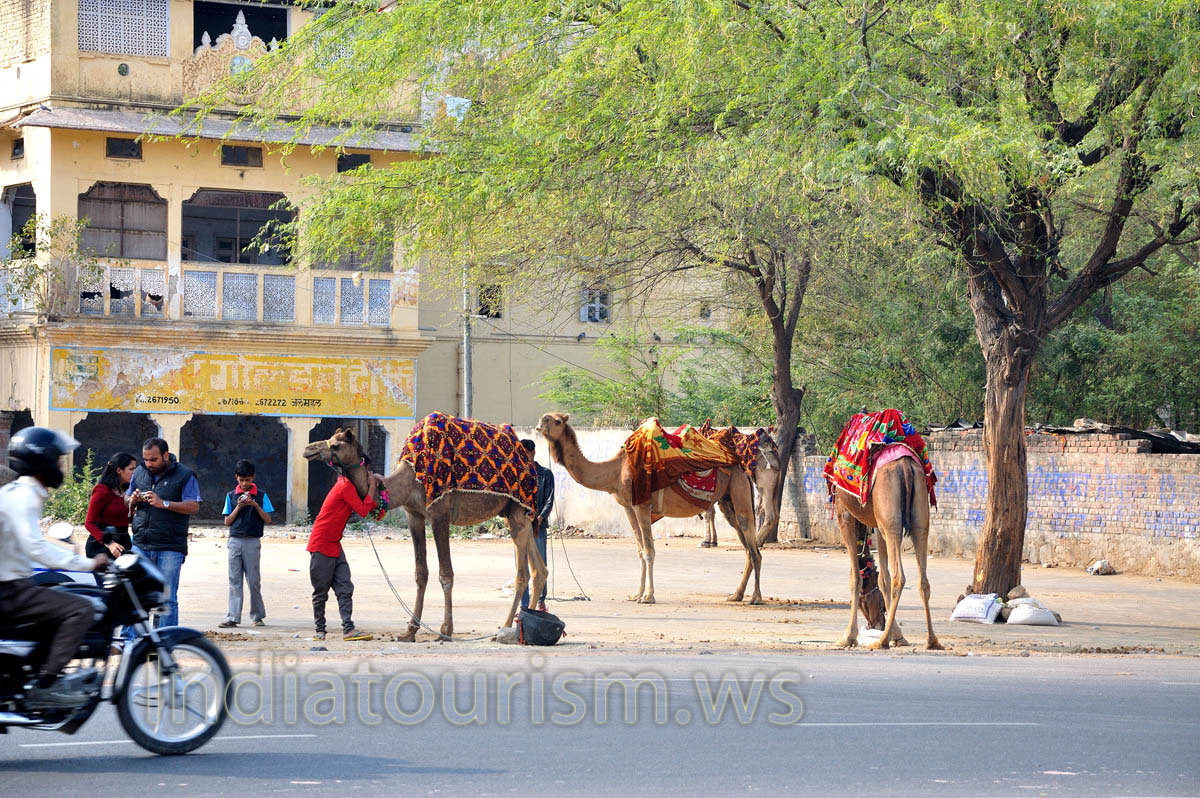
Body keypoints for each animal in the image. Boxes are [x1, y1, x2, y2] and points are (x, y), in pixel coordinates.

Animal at [302, 427, 545, 640]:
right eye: (329, 440)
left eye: (335, 445)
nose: (308, 449)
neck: (409, 481)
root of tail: (530, 465)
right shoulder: (414, 515)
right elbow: (421, 573)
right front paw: (409, 631)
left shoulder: (439, 514)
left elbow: (445, 574)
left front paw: (446, 631)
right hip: (513, 514)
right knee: (539, 570)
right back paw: (525, 623)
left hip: (517, 510)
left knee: (522, 573)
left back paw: (506, 628)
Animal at [536, 412, 762, 605]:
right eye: (547, 417)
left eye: (557, 421)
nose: (541, 422)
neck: (615, 471)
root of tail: (742, 465)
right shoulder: (629, 507)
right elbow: (640, 549)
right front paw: (636, 593)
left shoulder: (642, 505)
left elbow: (649, 551)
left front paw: (648, 596)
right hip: (727, 502)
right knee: (747, 548)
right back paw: (736, 595)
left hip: (739, 493)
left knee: (754, 549)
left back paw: (755, 598)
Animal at [833, 455, 942, 650]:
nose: (875, 623)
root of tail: (905, 466)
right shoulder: (877, 522)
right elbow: (883, 580)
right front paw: (897, 636)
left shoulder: (844, 511)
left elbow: (856, 578)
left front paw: (848, 637)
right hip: (918, 519)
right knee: (923, 580)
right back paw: (932, 641)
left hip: (890, 521)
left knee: (899, 577)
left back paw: (881, 641)